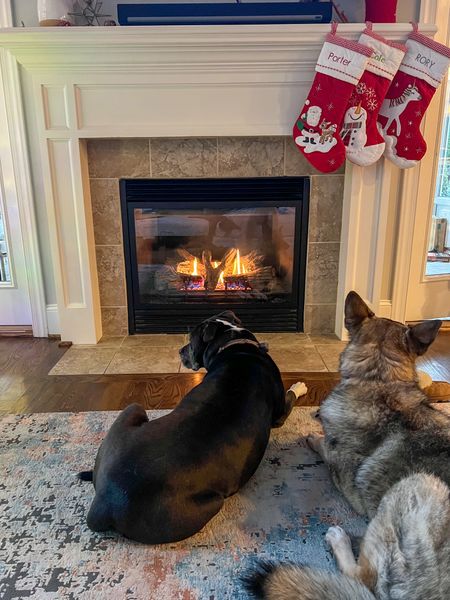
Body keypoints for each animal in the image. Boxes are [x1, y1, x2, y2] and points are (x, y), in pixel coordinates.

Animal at [78, 312, 294, 548]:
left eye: (190, 340)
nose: (180, 351)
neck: (233, 345)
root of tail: (105, 502)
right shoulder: (280, 415)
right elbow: (291, 396)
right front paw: (299, 386)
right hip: (209, 502)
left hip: (128, 415)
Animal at [246, 290, 450, 596]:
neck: (378, 382)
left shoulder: (341, 474)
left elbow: (326, 447)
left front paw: (314, 436)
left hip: (416, 485)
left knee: (364, 578)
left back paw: (338, 539)